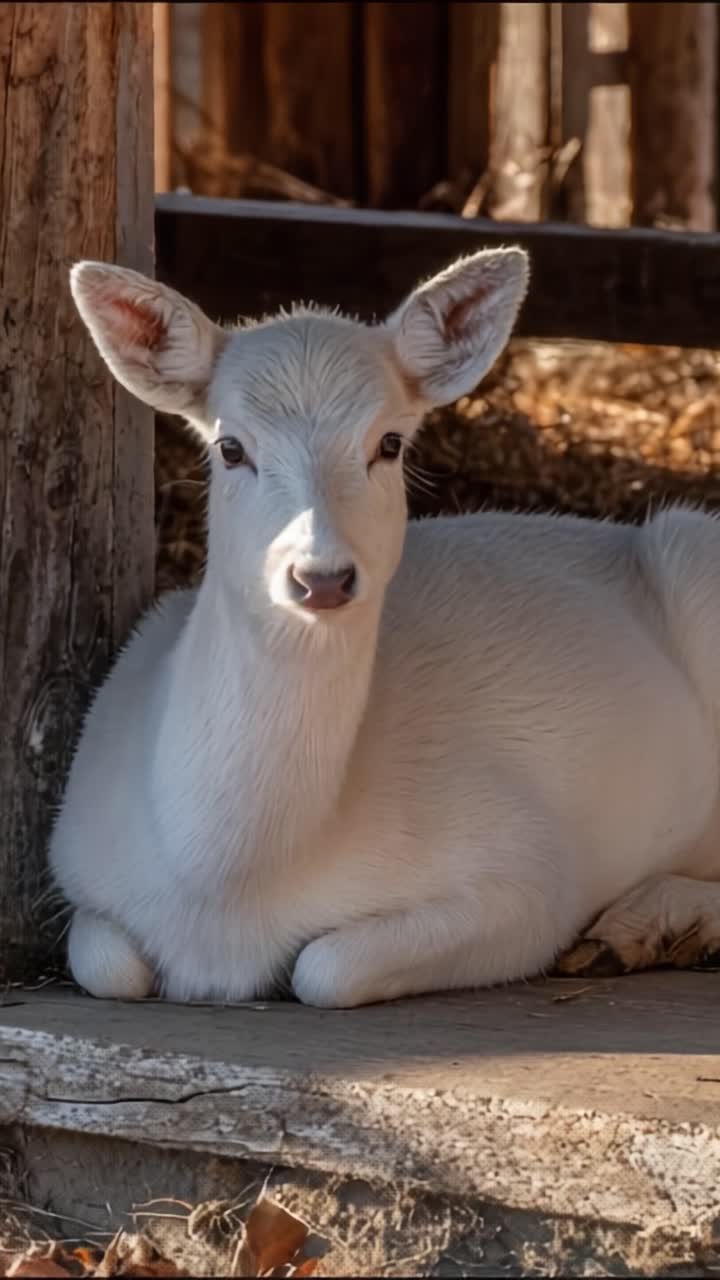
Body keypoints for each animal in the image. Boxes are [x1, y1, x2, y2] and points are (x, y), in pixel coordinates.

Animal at [48, 247, 720, 1008]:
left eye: (390, 442)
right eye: (230, 448)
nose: (322, 577)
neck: (224, 890)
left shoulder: (530, 874)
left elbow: (326, 967)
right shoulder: (77, 860)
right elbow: (109, 965)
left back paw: (640, 926)